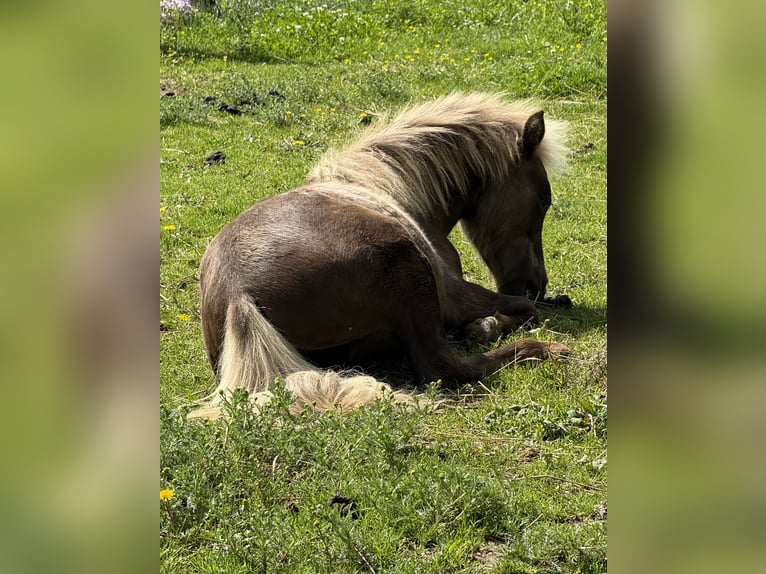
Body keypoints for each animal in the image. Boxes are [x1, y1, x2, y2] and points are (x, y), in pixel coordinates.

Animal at [188, 92, 571, 419]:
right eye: (543, 201)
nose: (537, 284)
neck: (389, 190)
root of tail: (239, 294)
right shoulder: (457, 295)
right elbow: (525, 309)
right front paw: (486, 326)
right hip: (412, 279)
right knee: (446, 369)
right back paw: (543, 349)